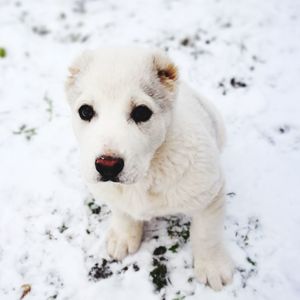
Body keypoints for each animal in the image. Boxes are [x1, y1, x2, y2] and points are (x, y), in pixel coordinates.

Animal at [65, 47, 234, 290]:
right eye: (85, 111)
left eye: (142, 112)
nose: (108, 166)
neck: (146, 173)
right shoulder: (112, 193)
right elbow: (122, 212)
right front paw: (125, 236)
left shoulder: (210, 193)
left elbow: (206, 233)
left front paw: (212, 266)